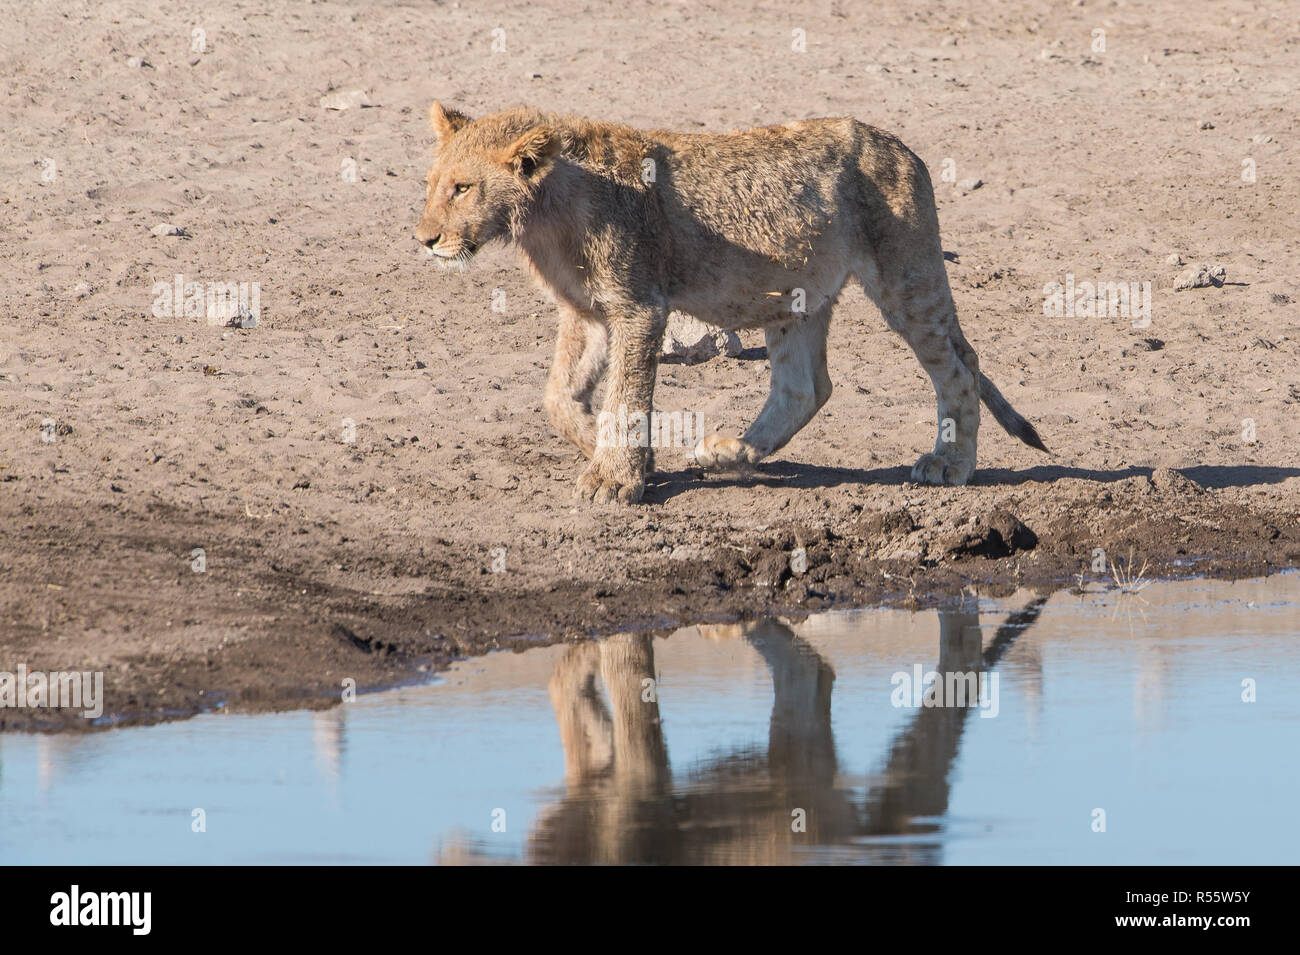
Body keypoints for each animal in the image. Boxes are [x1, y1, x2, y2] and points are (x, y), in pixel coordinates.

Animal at [416, 102, 1045, 509]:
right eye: (431, 184)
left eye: (463, 188)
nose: (424, 240)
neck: (542, 214)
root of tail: (904, 148)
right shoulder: (586, 312)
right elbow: (557, 397)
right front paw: (619, 453)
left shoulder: (638, 306)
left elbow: (626, 396)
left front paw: (615, 478)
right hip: (800, 295)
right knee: (805, 388)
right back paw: (729, 454)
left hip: (905, 275)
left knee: (959, 368)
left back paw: (950, 464)